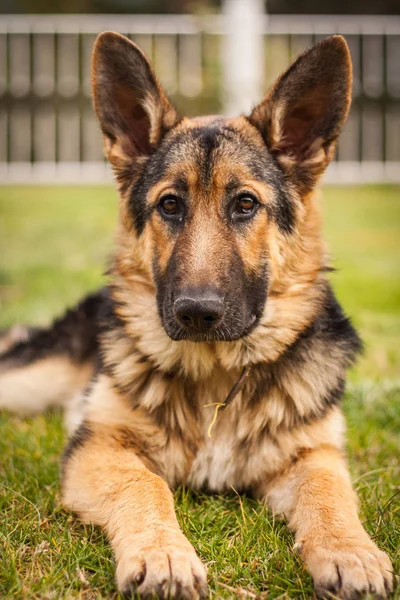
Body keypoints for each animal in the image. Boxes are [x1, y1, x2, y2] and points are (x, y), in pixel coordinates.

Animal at [0, 34, 394, 600]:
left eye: (245, 204)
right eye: (170, 205)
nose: (196, 313)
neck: (218, 373)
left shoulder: (313, 454)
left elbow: (329, 494)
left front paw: (350, 552)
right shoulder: (100, 447)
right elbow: (145, 484)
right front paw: (163, 554)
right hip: (27, 384)